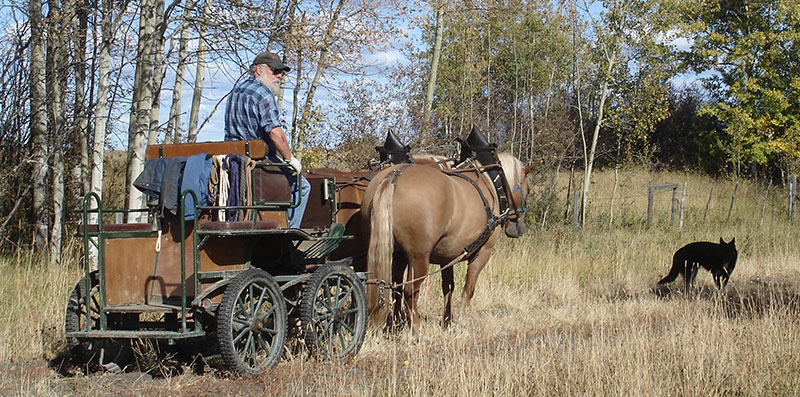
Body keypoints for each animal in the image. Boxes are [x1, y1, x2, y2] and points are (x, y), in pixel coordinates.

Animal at [362, 152, 532, 328]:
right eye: (529, 190)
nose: (518, 228)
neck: (489, 184)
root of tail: (394, 175)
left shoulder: (447, 257)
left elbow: (448, 287)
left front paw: (447, 320)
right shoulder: (483, 253)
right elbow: (469, 288)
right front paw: (462, 322)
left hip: (396, 255)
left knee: (395, 286)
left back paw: (397, 321)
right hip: (418, 259)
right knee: (410, 290)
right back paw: (415, 327)